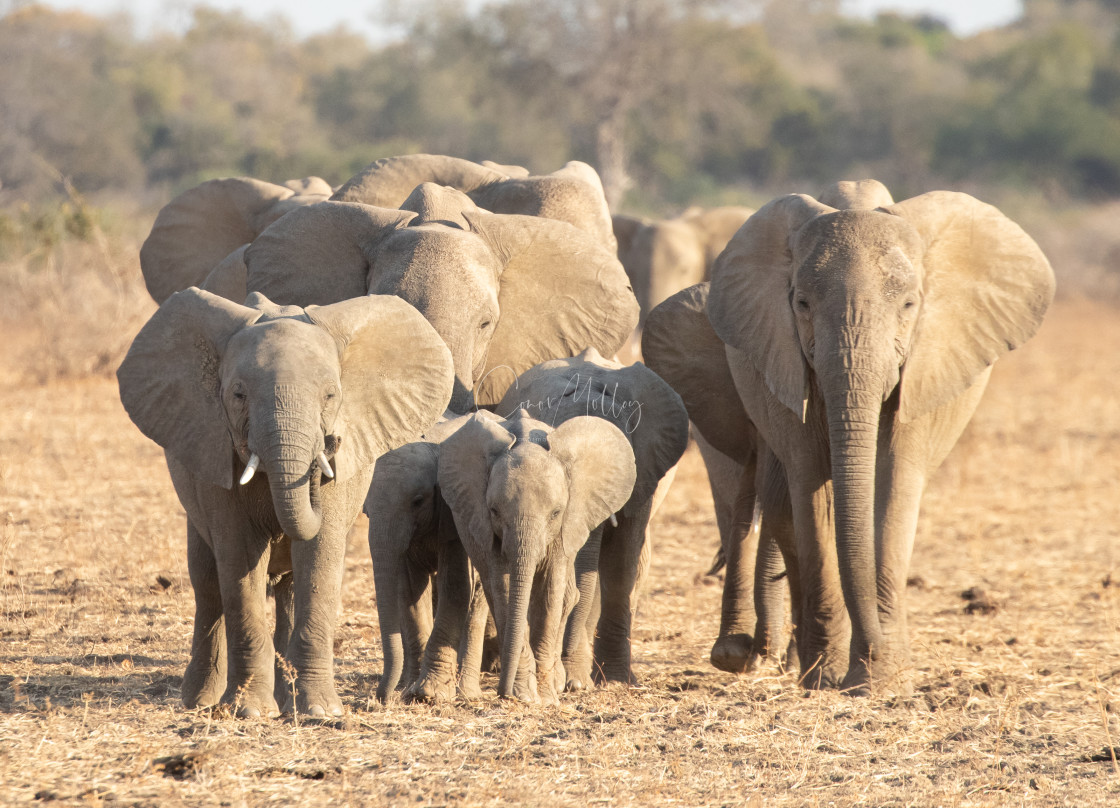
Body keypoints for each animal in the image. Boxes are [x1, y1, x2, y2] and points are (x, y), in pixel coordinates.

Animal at [119, 289, 454, 712]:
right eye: (239, 395)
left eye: (330, 395)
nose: (331, 441)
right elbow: (239, 558)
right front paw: (249, 710)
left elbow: (320, 553)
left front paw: (320, 710)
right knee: (208, 583)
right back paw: (200, 701)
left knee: (290, 588)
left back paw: (284, 697)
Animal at [649, 184, 1048, 694]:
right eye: (801, 304)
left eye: (909, 305)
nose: (871, 658)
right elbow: (810, 490)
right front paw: (830, 676)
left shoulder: (923, 369)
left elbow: (894, 486)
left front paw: (882, 679)